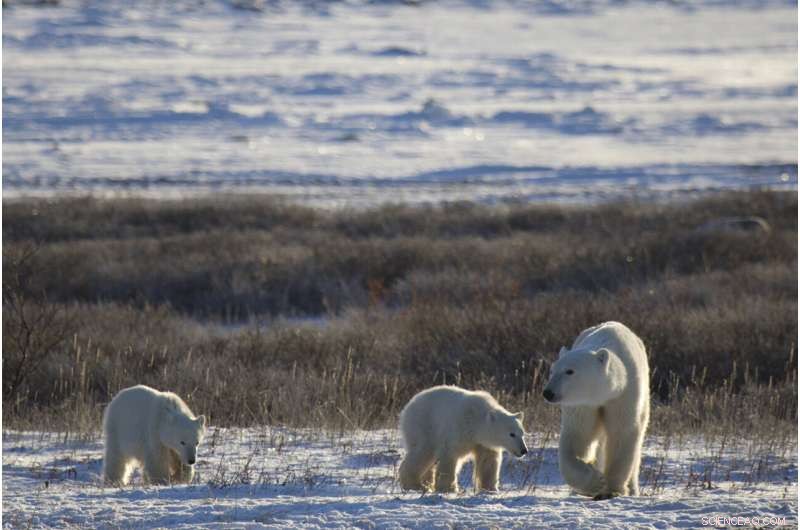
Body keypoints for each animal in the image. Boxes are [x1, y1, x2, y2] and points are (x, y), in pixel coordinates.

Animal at [398, 385, 528, 494]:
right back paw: (416, 485)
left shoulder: (483, 443)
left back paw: (427, 484)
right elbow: (448, 456)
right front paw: (449, 489)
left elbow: (488, 462)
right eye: (512, 434)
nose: (524, 450)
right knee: (423, 452)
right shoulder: (459, 429)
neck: (476, 421)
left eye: (522, 434)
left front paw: (490, 489)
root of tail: (408, 406)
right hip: (424, 426)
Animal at [543, 321, 650, 500]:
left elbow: (622, 433)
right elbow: (578, 436)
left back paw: (633, 489)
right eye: (552, 370)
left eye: (570, 371)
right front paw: (595, 481)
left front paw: (612, 490)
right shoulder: (583, 404)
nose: (548, 392)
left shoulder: (624, 394)